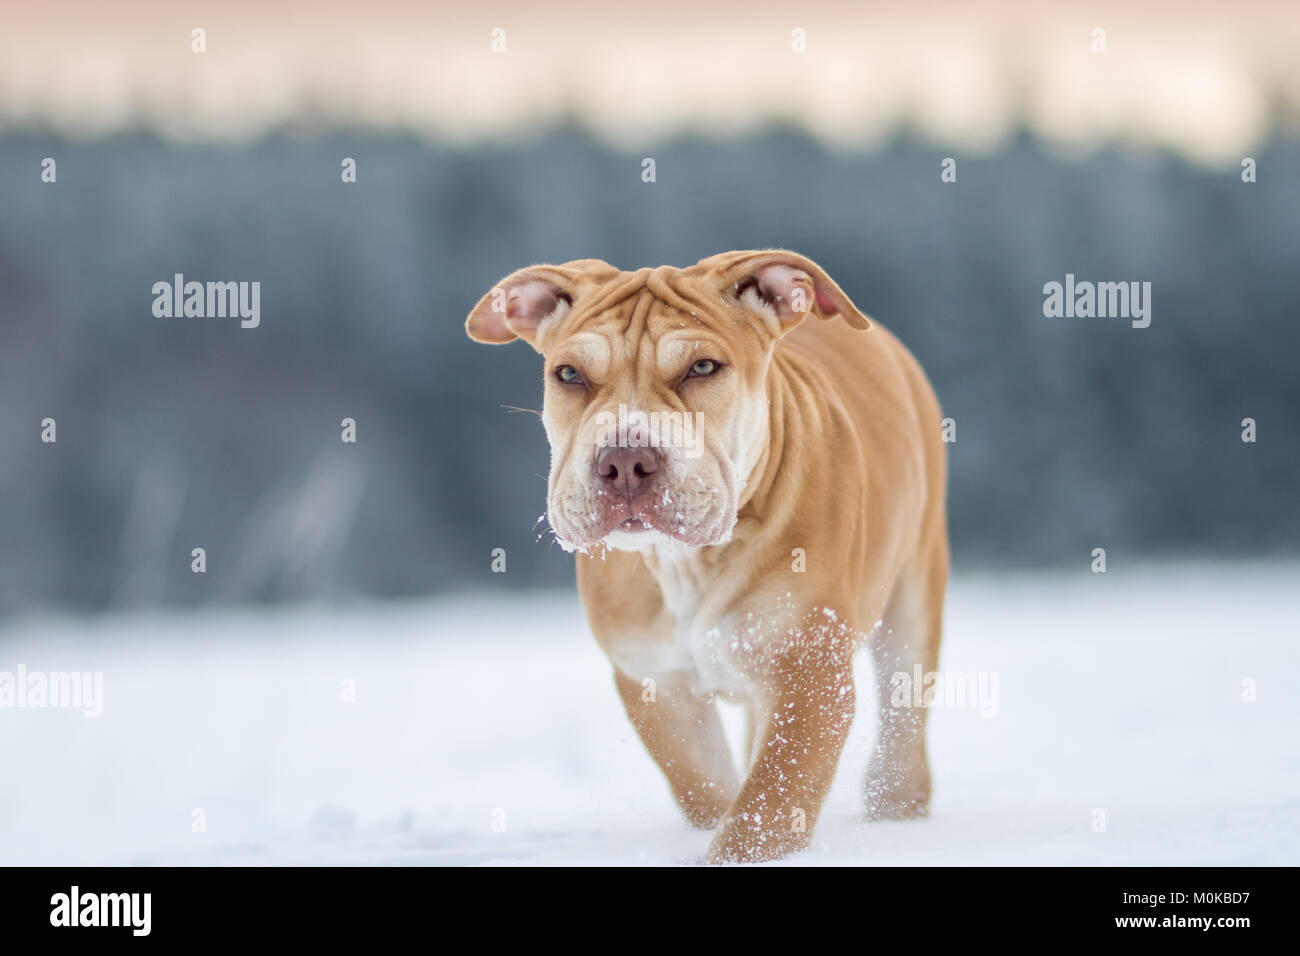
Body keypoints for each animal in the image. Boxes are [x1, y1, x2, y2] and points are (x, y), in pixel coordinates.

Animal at [465, 248, 946, 858]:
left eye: (702, 368)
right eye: (569, 374)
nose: (625, 459)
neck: (685, 563)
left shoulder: (809, 675)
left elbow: (767, 803)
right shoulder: (656, 681)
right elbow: (705, 786)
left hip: (913, 595)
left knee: (903, 717)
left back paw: (897, 811)